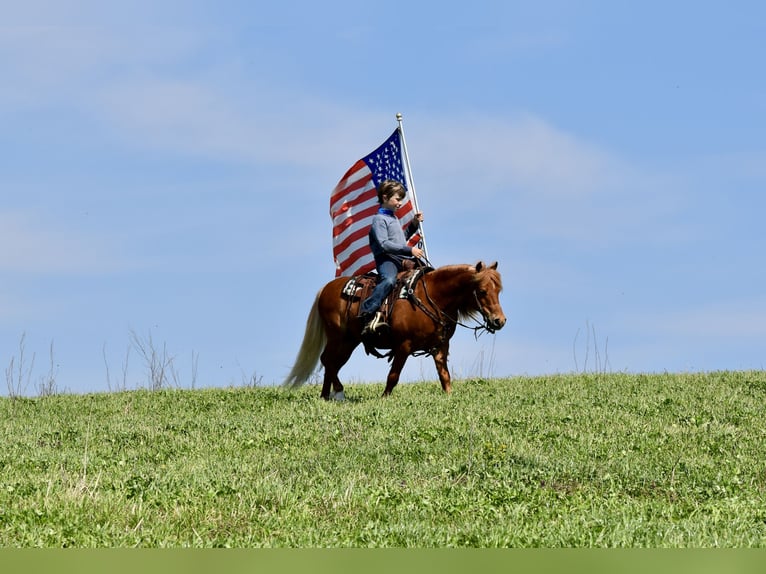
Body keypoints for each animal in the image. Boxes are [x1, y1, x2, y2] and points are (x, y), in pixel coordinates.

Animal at [283, 261, 506, 399]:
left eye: (498, 290)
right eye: (482, 291)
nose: (499, 321)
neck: (432, 297)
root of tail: (325, 289)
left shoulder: (441, 346)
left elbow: (445, 376)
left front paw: (449, 396)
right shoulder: (404, 345)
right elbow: (394, 375)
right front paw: (384, 398)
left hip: (349, 341)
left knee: (332, 364)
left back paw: (326, 395)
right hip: (337, 337)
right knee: (327, 361)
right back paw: (338, 393)